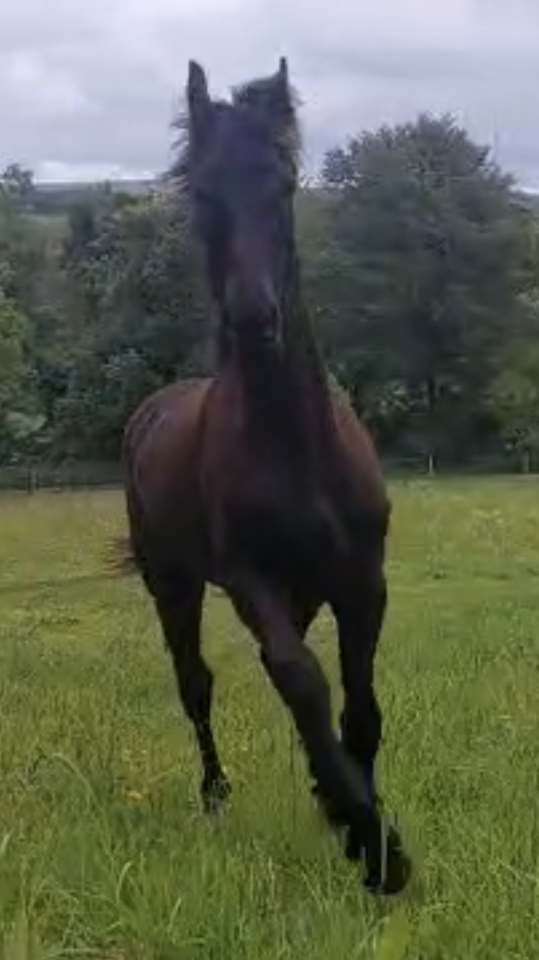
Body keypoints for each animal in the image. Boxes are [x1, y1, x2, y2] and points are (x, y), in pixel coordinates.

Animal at [110, 57, 411, 896]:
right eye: (202, 192)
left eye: (283, 184)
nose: (253, 318)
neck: (293, 448)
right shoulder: (249, 580)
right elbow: (301, 683)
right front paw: (375, 847)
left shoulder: (362, 578)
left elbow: (358, 709)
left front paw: (352, 817)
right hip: (174, 586)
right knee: (197, 683)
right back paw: (216, 795)